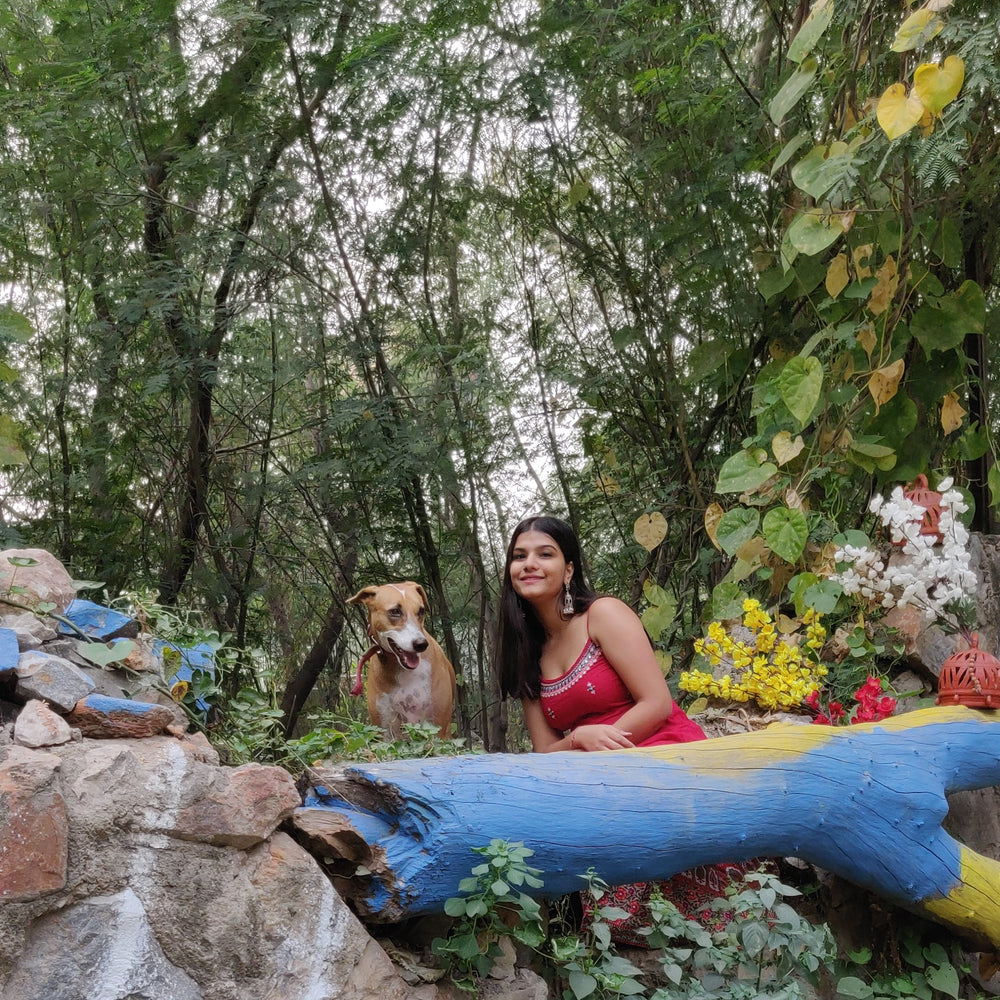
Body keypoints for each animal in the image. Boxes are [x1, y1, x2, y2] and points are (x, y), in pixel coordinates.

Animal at [344, 584, 454, 740]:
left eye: (421, 610)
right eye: (395, 611)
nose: (421, 644)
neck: (404, 672)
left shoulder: (437, 728)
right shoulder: (386, 728)